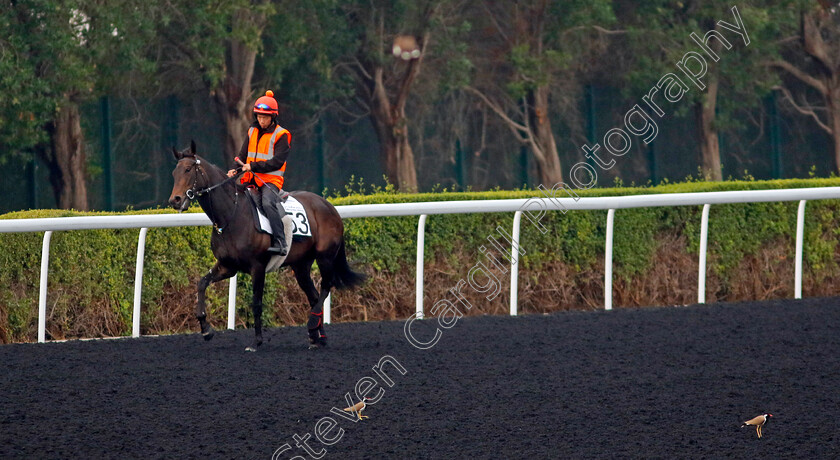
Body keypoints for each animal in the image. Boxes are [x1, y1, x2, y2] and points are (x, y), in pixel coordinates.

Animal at [169, 140, 366, 352]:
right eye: (174, 172)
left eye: (188, 169)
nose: (175, 200)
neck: (232, 215)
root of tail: (330, 207)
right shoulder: (227, 266)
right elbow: (202, 283)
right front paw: (206, 329)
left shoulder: (258, 267)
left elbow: (256, 303)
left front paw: (256, 342)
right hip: (301, 265)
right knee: (313, 295)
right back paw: (317, 336)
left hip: (325, 257)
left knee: (326, 287)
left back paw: (312, 326)